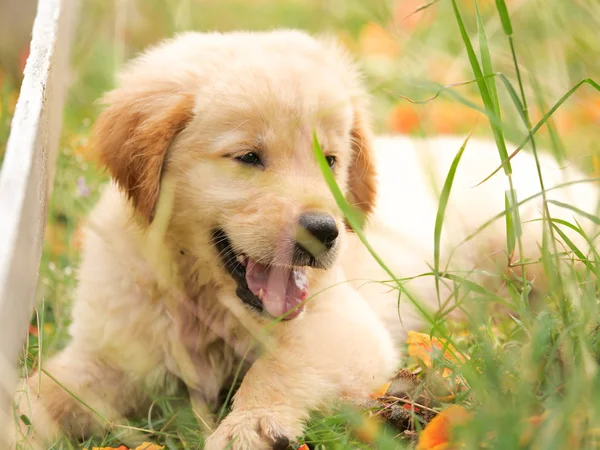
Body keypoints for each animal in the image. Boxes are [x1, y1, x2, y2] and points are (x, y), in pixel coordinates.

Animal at [7, 29, 596, 448]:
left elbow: (280, 366)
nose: (324, 231)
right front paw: (17, 426)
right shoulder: (106, 355)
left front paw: (251, 425)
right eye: (248, 157)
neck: (200, 300)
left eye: (330, 160)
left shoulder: (340, 323)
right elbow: (36, 390)